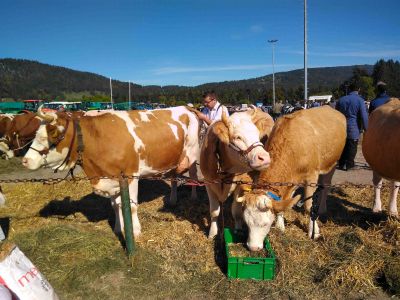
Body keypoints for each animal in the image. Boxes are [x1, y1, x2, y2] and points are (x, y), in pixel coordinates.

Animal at [21, 106, 200, 237]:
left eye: (46, 137)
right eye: (35, 135)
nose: (25, 161)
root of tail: (187, 107)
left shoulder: (131, 176)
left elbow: (131, 206)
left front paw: (135, 232)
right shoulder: (111, 177)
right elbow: (115, 206)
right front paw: (118, 229)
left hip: (193, 154)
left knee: (193, 175)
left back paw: (193, 197)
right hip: (175, 158)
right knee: (174, 177)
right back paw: (173, 199)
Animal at [200, 107, 276, 237]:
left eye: (257, 135)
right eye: (238, 137)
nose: (265, 158)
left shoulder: (240, 184)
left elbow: (236, 211)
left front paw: (238, 229)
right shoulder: (208, 183)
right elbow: (214, 211)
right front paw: (212, 233)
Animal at [234, 106, 346, 250]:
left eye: (265, 224)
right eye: (246, 222)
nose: (253, 247)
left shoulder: (311, 176)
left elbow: (308, 206)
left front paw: (314, 231)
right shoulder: (290, 181)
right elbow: (284, 201)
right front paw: (280, 226)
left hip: (332, 162)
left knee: (326, 185)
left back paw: (321, 208)